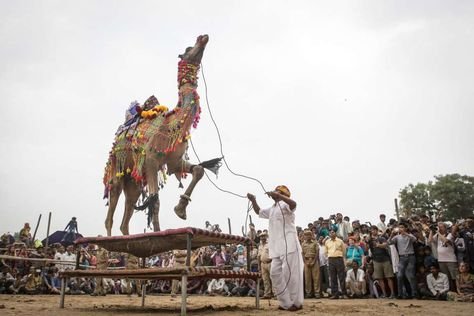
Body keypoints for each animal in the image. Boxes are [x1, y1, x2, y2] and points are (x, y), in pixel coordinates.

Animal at [103, 35, 218, 237]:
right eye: (188, 48)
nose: (203, 37)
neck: (174, 124)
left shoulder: (173, 161)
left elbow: (199, 170)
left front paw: (180, 210)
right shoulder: (151, 159)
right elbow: (155, 200)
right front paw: (158, 231)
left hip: (134, 182)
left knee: (126, 217)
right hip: (117, 168)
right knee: (111, 212)